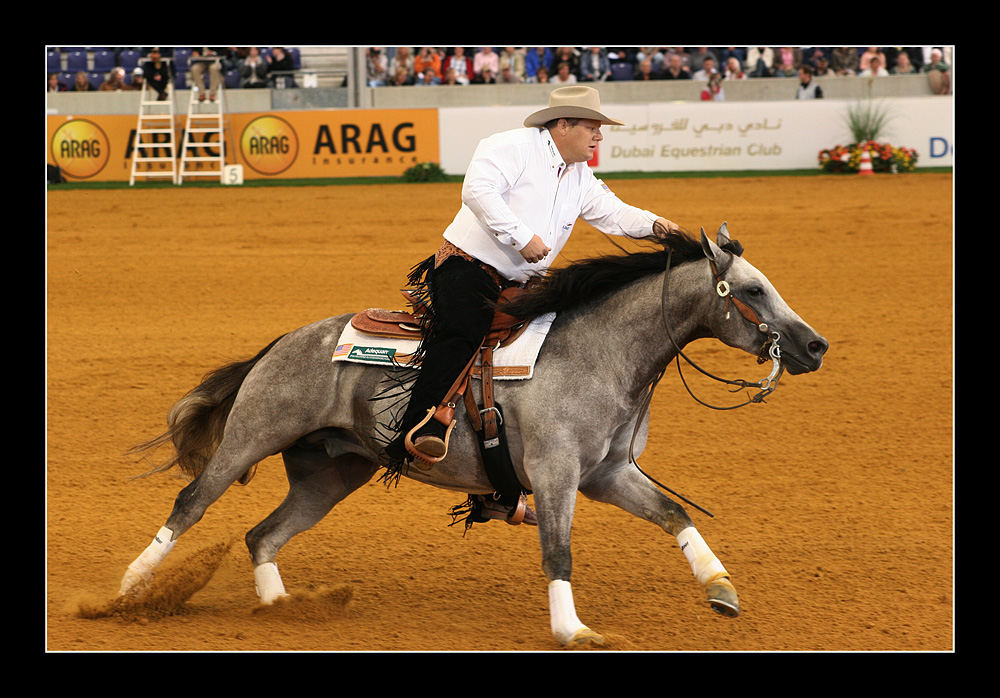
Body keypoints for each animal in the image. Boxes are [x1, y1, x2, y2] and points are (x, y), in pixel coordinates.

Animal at [119, 224, 828, 648]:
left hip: (329, 473)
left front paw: (721, 588)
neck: (599, 354)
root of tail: (281, 343)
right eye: (753, 289)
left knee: (262, 535)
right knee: (191, 503)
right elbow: (558, 553)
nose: (815, 346)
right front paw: (573, 630)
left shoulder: (608, 475)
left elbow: (675, 513)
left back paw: (281, 609)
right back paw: (128, 592)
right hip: (252, 435)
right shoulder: (555, 474)